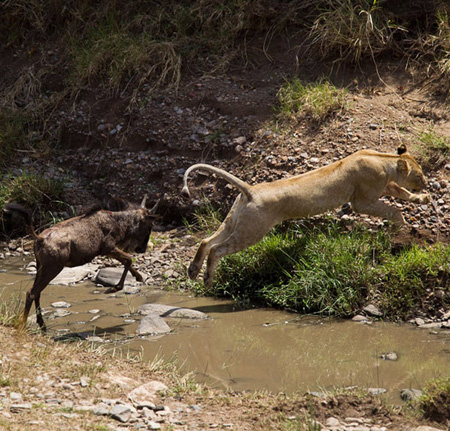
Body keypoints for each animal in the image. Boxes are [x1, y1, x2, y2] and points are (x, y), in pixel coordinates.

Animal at [3, 197, 158, 332]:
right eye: (149, 225)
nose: (142, 249)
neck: (120, 224)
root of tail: (39, 238)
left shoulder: (108, 250)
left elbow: (127, 260)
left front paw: (138, 277)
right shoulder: (107, 248)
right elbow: (128, 259)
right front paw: (114, 288)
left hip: (41, 266)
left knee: (37, 293)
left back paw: (42, 325)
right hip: (53, 268)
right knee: (32, 292)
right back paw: (23, 325)